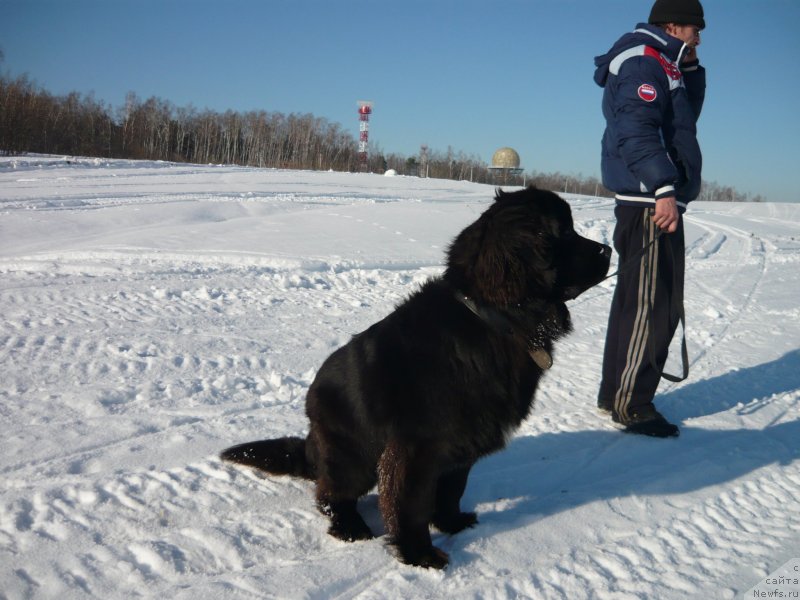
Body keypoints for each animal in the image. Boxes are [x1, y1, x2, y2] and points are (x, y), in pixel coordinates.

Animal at [222, 186, 608, 568]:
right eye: (562, 232)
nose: (608, 249)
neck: (494, 320)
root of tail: (311, 430)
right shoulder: (416, 447)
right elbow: (410, 504)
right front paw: (418, 552)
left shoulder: (463, 442)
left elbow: (451, 490)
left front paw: (452, 523)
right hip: (351, 455)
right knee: (331, 494)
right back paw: (350, 526)